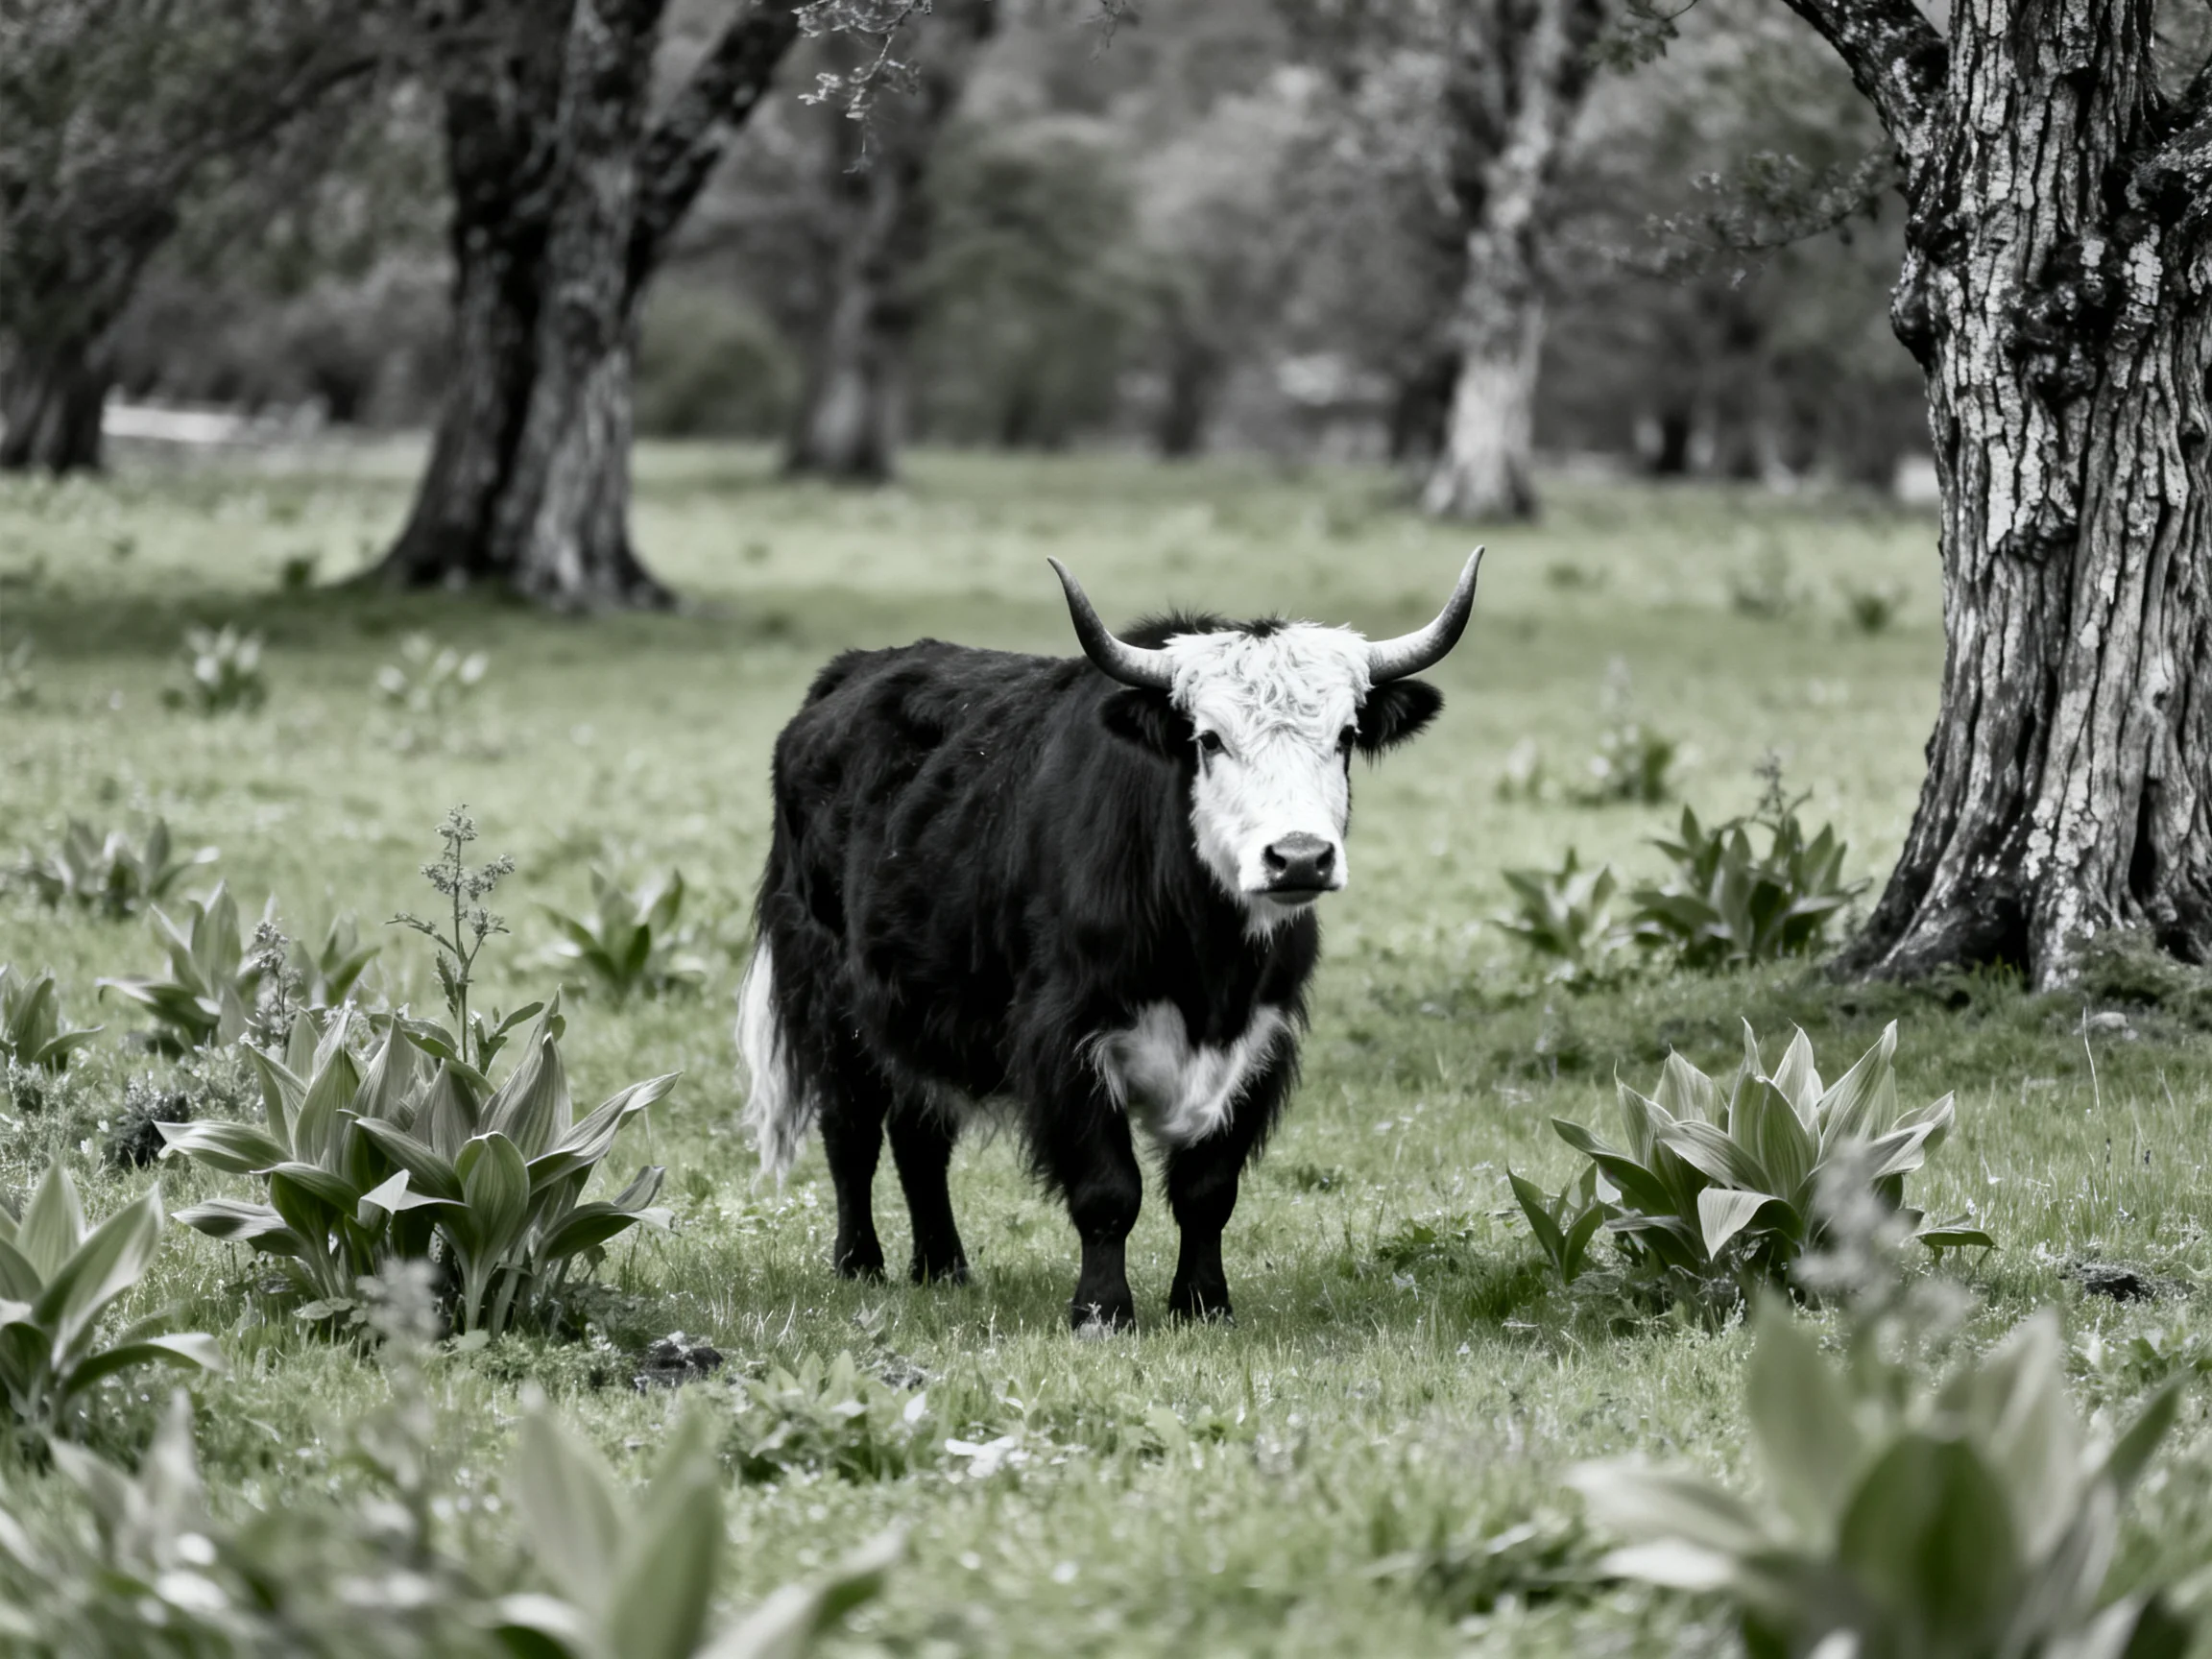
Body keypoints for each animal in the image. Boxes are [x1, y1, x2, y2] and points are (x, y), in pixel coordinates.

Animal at [737, 549, 1483, 1330]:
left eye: (1344, 737)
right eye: (1208, 739)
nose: (1300, 858)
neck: (1206, 961)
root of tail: (849, 674)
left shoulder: (1258, 1044)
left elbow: (1208, 1192)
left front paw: (1202, 1304)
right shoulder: (1065, 1037)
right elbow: (1107, 1189)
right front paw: (1101, 1311)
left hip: (921, 1010)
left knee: (921, 1138)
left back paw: (943, 1268)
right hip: (828, 998)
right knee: (851, 1131)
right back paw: (860, 1264)